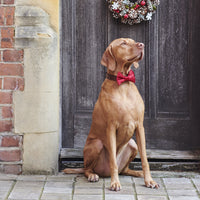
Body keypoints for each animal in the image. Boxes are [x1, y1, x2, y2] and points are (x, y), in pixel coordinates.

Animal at [64, 38, 159, 191]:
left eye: (133, 41)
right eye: (123, 43)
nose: (142, 45)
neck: (123, 84)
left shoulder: (140, 126)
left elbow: (145, 159)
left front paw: (149, 180)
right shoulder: (111, 128)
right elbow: (113, 161)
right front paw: (115, 183)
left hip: (132, 144)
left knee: (124, 170)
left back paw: (137, 173)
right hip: (96, 144)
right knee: (87, 169)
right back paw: (93, 175)